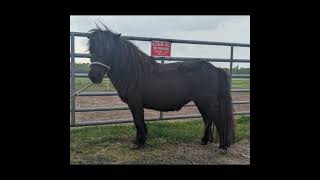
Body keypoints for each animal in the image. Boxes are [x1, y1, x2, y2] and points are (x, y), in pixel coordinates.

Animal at [87, 25, 235, 151]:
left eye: (108, 50)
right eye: (91, 50)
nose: (94, 76)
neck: (134, 72)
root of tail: (215, 69)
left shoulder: (135, 103)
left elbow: (138, 122)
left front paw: (138, 143)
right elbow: (139, 123)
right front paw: (141, 141)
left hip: (207, 102)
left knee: (218, 120)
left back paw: (223, 147)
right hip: (201, 102)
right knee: (207, 119)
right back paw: (204, 140)